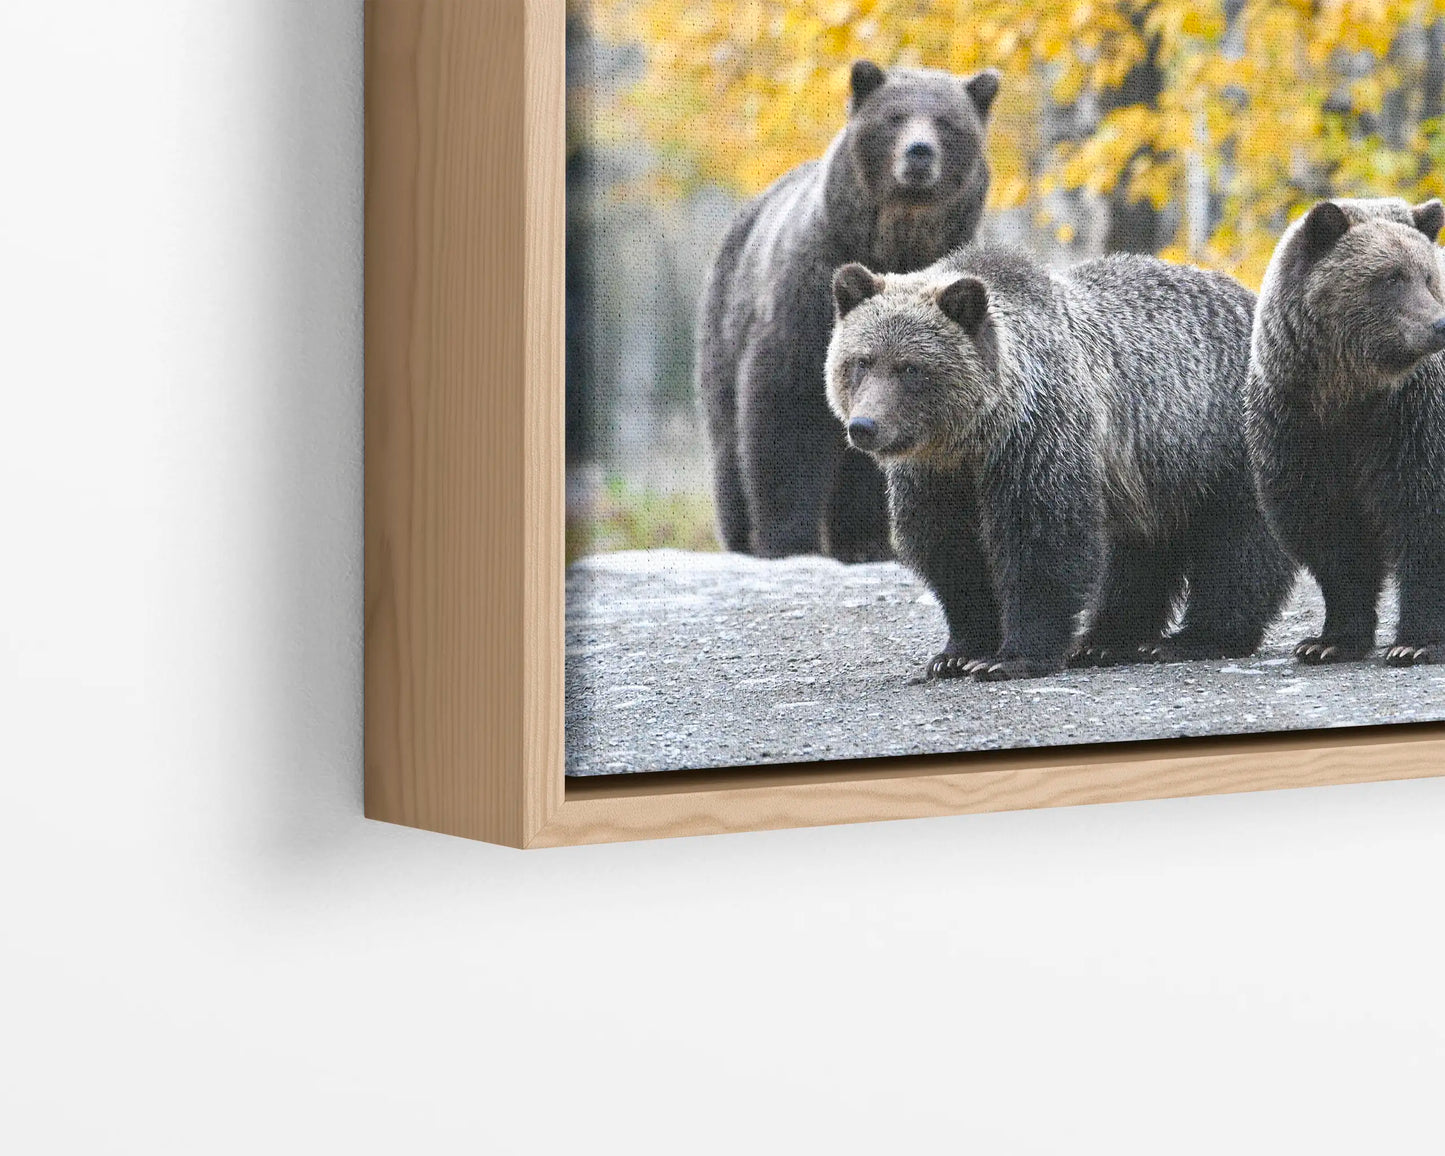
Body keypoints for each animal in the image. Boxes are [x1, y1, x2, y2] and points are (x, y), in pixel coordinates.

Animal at [697, 59, 999, 563]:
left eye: (947, 122)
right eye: (895, 117)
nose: (919, 153)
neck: (896, 242)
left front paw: (869, 542)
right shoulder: (808, 295)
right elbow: (788, 402)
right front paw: (786, 539)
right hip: (724, 324)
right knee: (727, 436)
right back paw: (742, 537)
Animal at [823, 245, 1297, 681]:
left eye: (910, 367)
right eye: (861, 361)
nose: (865, 426)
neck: (974, 439)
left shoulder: (1037, 439)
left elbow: (1041, 542)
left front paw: (1010, 657)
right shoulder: (935, 476)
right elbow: (950, 552)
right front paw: (956, 653)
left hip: (1224, 444)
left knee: (1238, 546)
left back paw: (1194, 639)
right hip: (1151, 477)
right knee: (1139, 555)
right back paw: (1106, 642)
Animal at [1245, 196, 1445, 666]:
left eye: (1429, 275)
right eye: (1391, 277)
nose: (1439, 324)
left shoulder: (1411, 423)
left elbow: (1426, 523)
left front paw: (1415, 642)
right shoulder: (1300, 430)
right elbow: (1330, 537)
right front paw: (1328, 640)